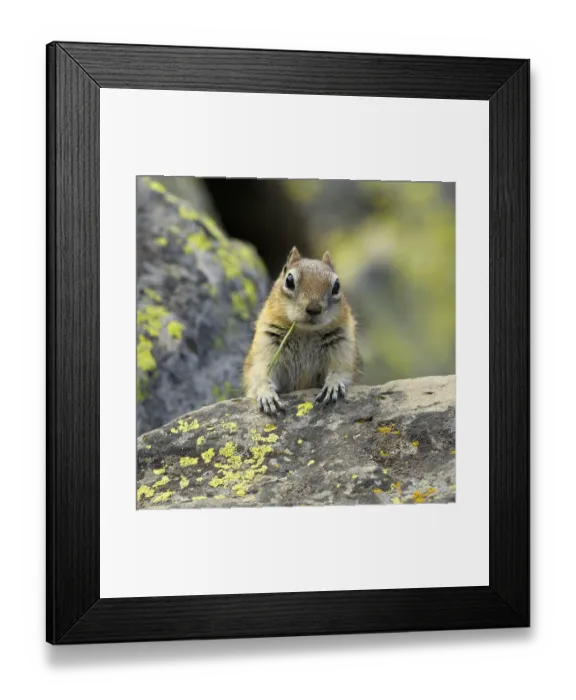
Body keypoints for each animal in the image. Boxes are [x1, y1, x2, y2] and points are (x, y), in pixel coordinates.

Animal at [243, 246, 362, 415]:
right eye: (289, 280)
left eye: (337, 286)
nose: (314, 308)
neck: (306, 332)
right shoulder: (266, 346)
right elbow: (260, 374)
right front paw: (267, 395)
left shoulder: (343, 346)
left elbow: (341, 371)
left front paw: (333, 385)